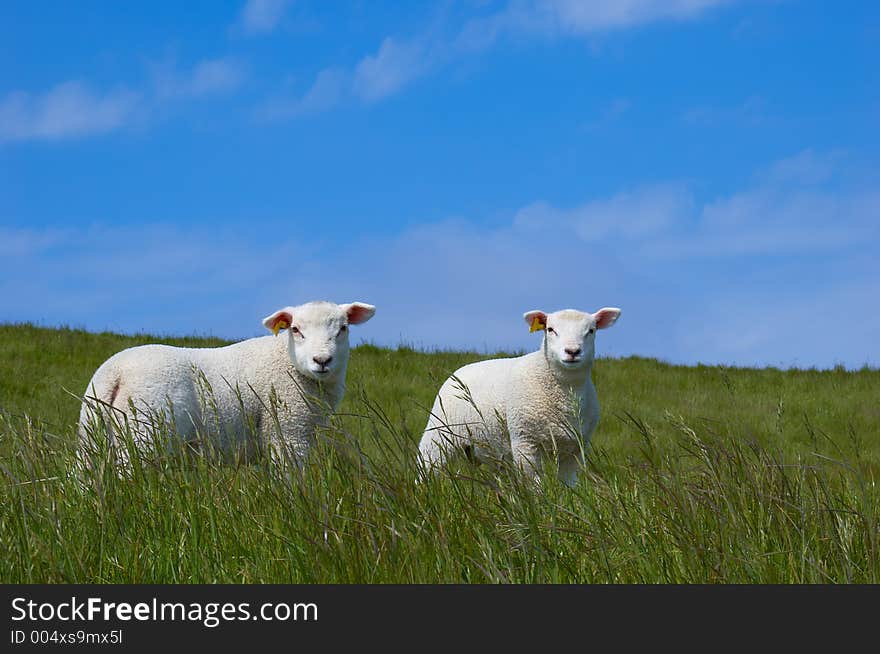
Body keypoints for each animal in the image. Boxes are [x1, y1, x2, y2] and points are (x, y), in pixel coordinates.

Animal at [76, 300, 374, 474]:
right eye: (296, 330)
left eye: (343, 328)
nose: (322, 360)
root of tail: (115, 371)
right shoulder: (288, 433)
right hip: (143, 432)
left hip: (92, 433)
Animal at [418, 308, 620, 486]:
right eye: (550, 329)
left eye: (591, 330)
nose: (572, 351)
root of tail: (459, 370)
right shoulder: (524, 441)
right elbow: (534, 485)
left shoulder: (574, 449)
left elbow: (568, 485)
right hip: (439, 433)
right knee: (427, 465)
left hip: (492, 449)